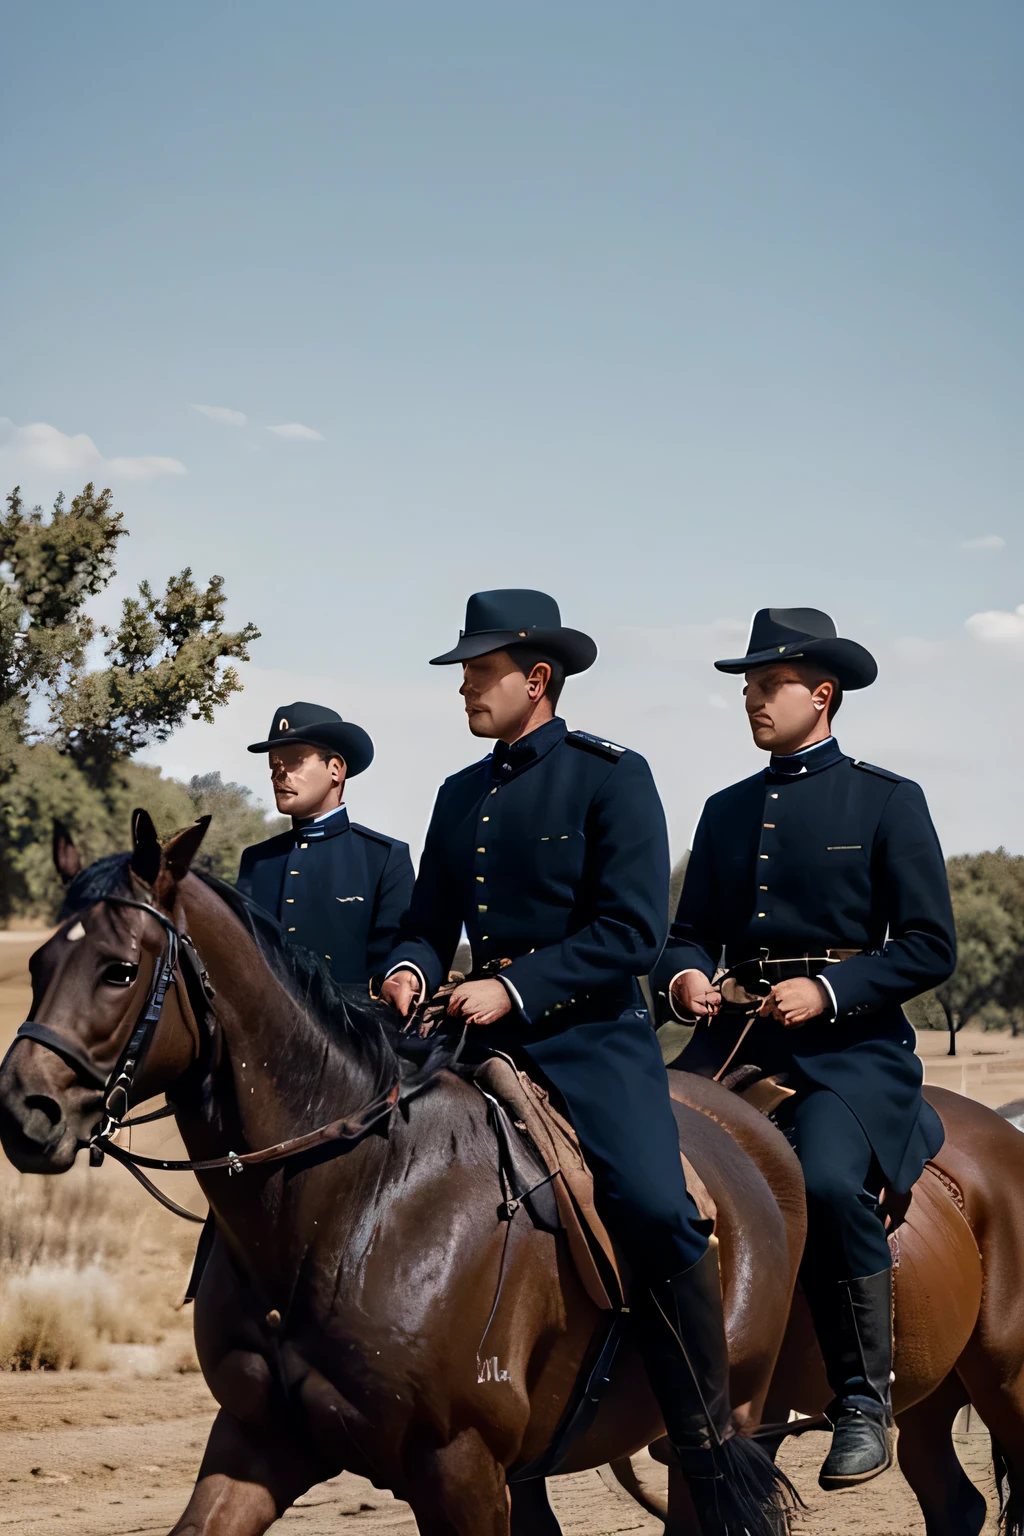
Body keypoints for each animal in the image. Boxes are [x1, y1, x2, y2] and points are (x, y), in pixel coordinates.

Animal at [0, 811, 804, 1529]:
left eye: (119, 970)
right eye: (39, 964)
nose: (22, 1110)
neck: (355, 1200)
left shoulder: (461, 1471)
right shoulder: (257, 1442)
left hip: (718, 1433)